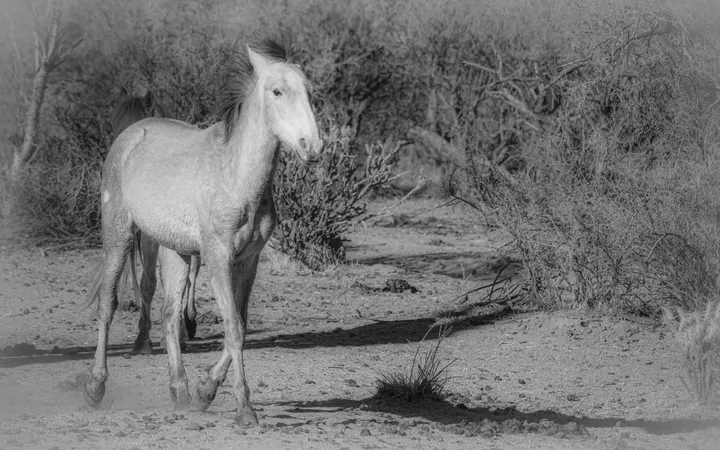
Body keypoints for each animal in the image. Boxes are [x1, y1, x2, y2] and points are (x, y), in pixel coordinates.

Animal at [86, 89, 201, 353]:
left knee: (193, 273)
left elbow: (164, 282)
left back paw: (187, 324)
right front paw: (143, 338)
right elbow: (147, 282)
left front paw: (169, 336)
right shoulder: (142, 235)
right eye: (115, 129)